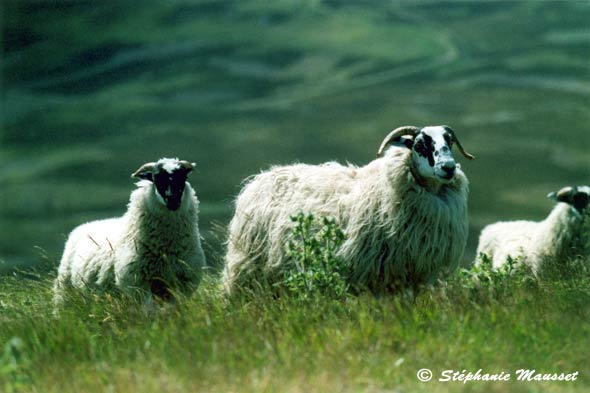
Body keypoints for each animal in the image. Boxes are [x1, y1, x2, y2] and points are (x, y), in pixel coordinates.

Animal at [53, 158, 206, 304]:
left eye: (183, 177)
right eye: (156, 178)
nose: (172, 200)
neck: (165, 248)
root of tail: (85, 225)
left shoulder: (181, 283)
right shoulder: (136, 283)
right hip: (65, 289)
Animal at [224, 124, 478, 292]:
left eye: (449, 142)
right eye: (419, 144)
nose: (448, 167)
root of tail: (258, 179)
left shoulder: (413, 273)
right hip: (246, 266)